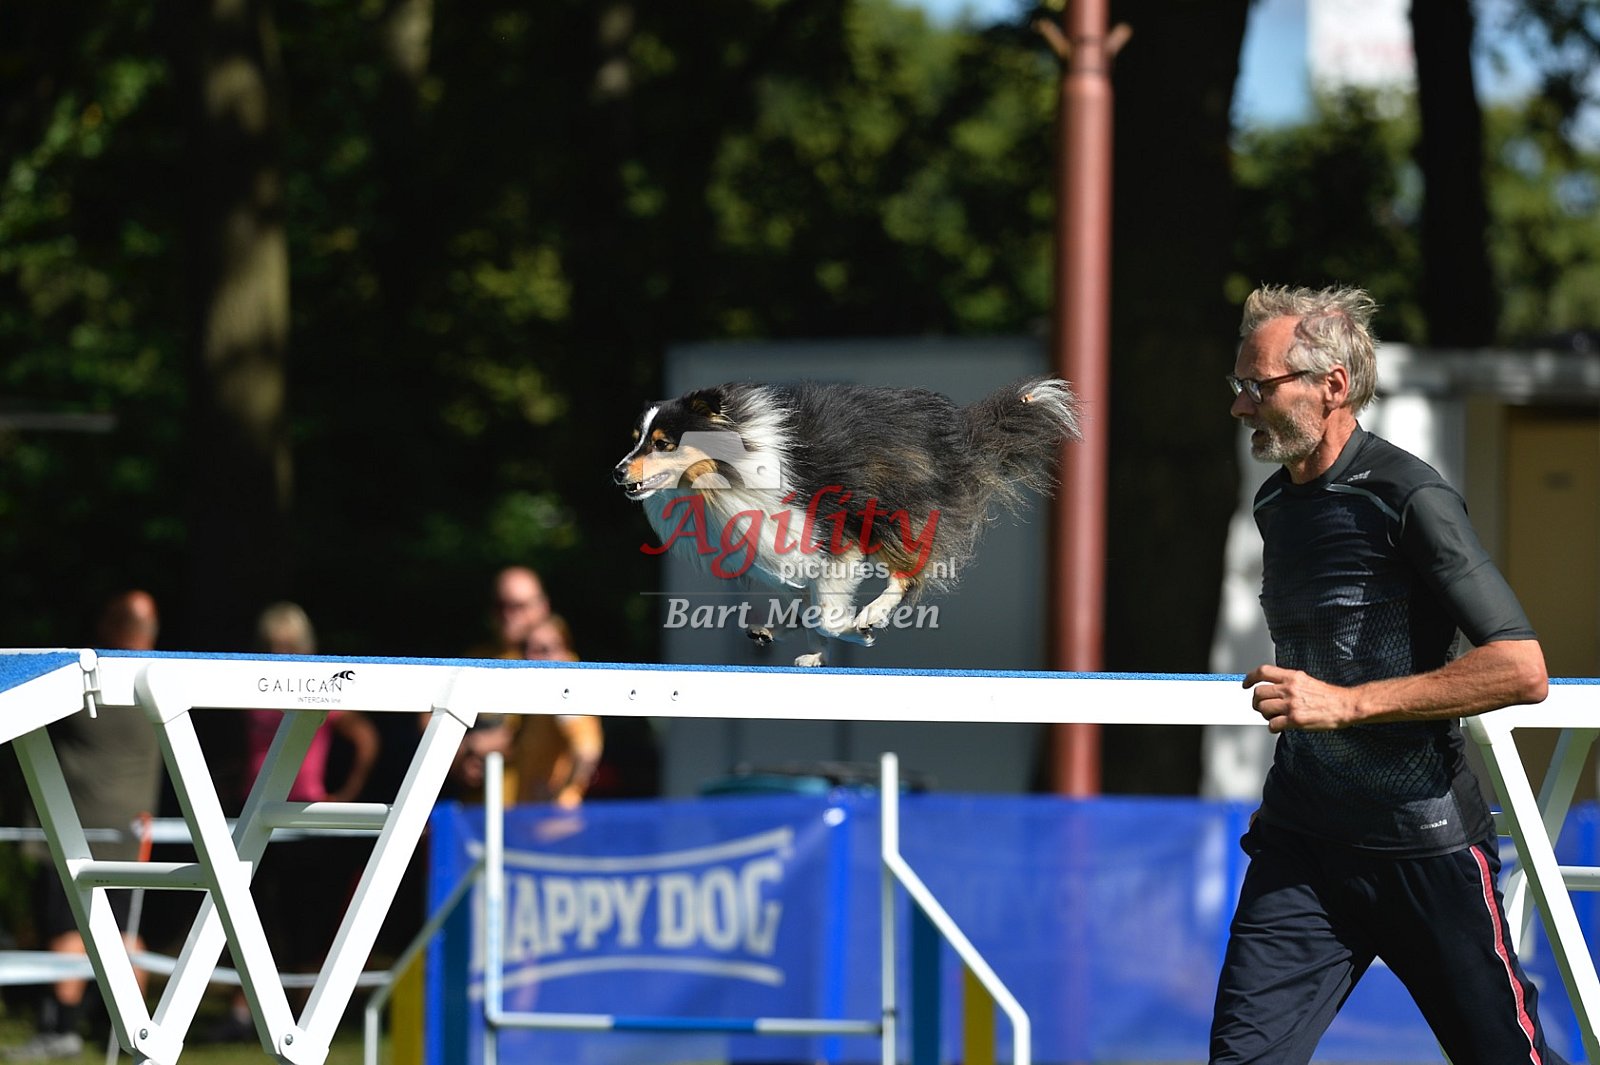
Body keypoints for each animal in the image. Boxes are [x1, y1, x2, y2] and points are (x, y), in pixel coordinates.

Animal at [614, 377, 1081, 666]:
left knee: (909, 573)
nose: (617, 472)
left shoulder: (828, 535)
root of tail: (959, 431)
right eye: (636, 440)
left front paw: (856, 631)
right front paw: (806, 646)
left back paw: (871, 615)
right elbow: (807, 604)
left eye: (663, 444)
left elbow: (826, 613)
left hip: (892, 509)